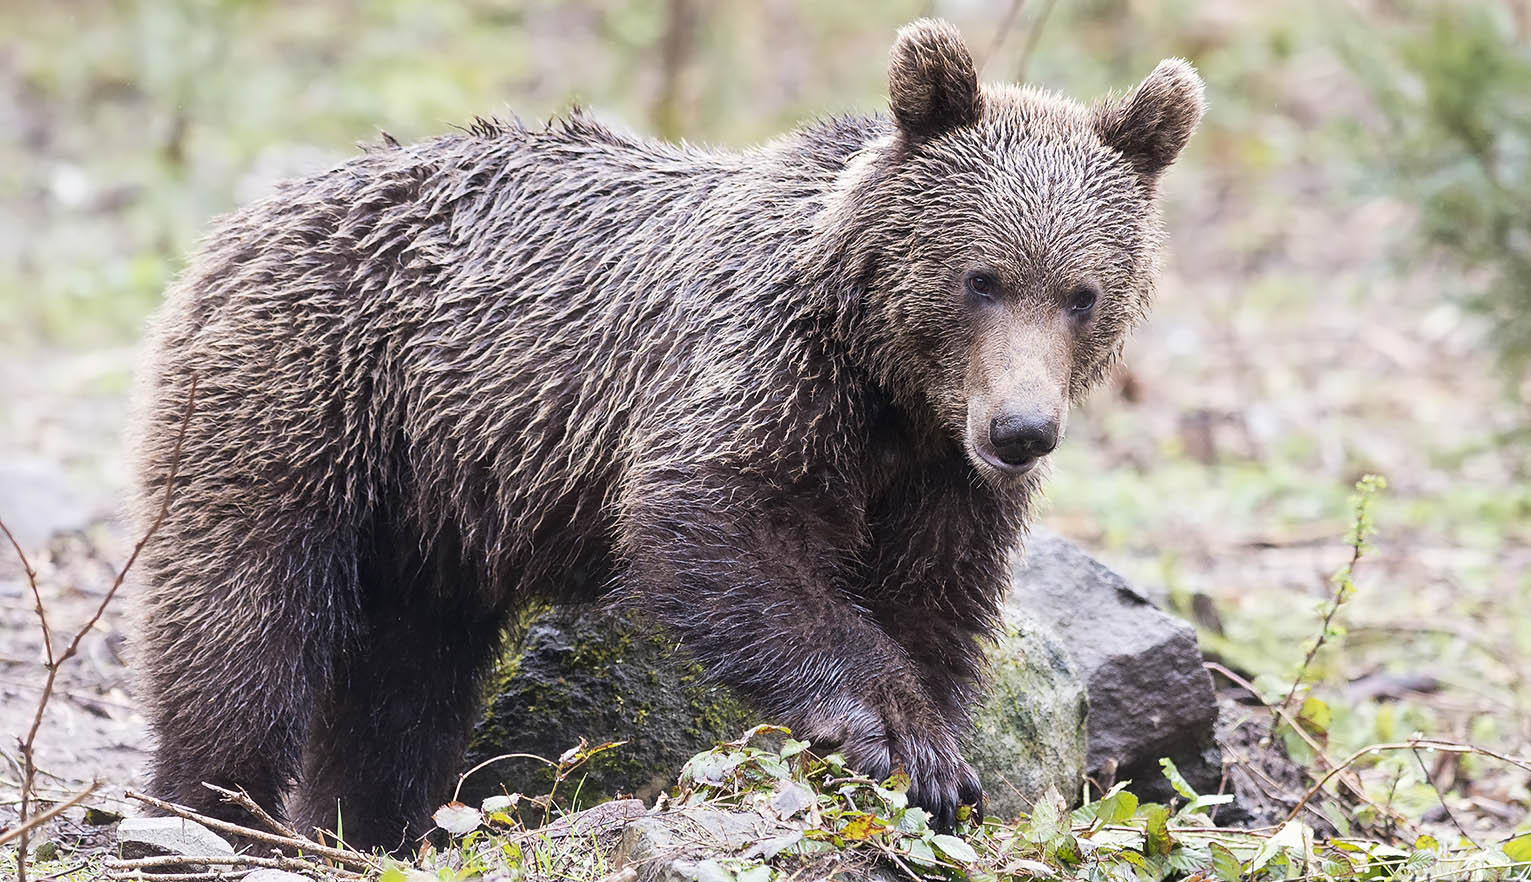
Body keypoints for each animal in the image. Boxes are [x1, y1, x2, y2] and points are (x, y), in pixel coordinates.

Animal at [131, 18, 1200, 845]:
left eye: (1081, 294)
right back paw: (210, 808)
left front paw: (942, 757)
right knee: (242, 613)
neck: (885, 381)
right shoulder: (760, 371)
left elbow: (930, 602)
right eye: (981, 278)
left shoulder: (940, 479)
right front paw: (902, 738)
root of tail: (244, 219)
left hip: (433, 501)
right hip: (306, 394)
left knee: (403, 677)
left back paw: (369, 823)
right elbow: (715, 524)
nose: (1021, 430)